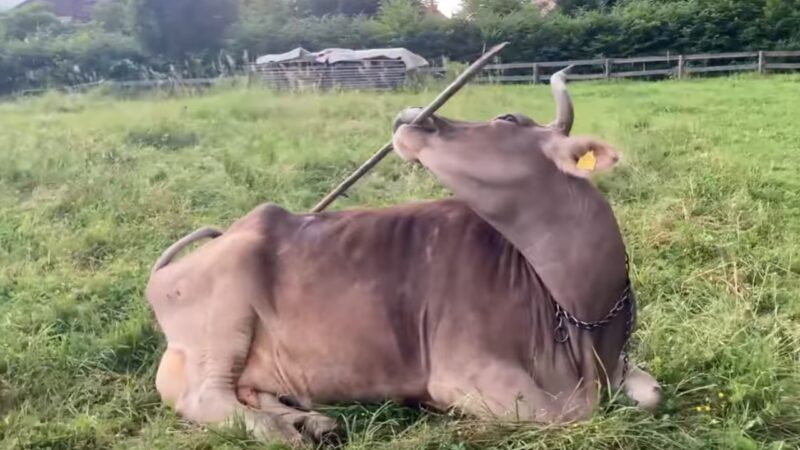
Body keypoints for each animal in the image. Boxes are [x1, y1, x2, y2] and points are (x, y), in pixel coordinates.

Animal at [145, 69, 662, 446]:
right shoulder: (460, 371)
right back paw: (281, 433)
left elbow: (651, 393)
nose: (413, 114)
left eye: (507, 118)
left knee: (247, 391)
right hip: (221, 319)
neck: (581, 316)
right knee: (207, 398)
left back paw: (312, 421)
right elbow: (565, 413)